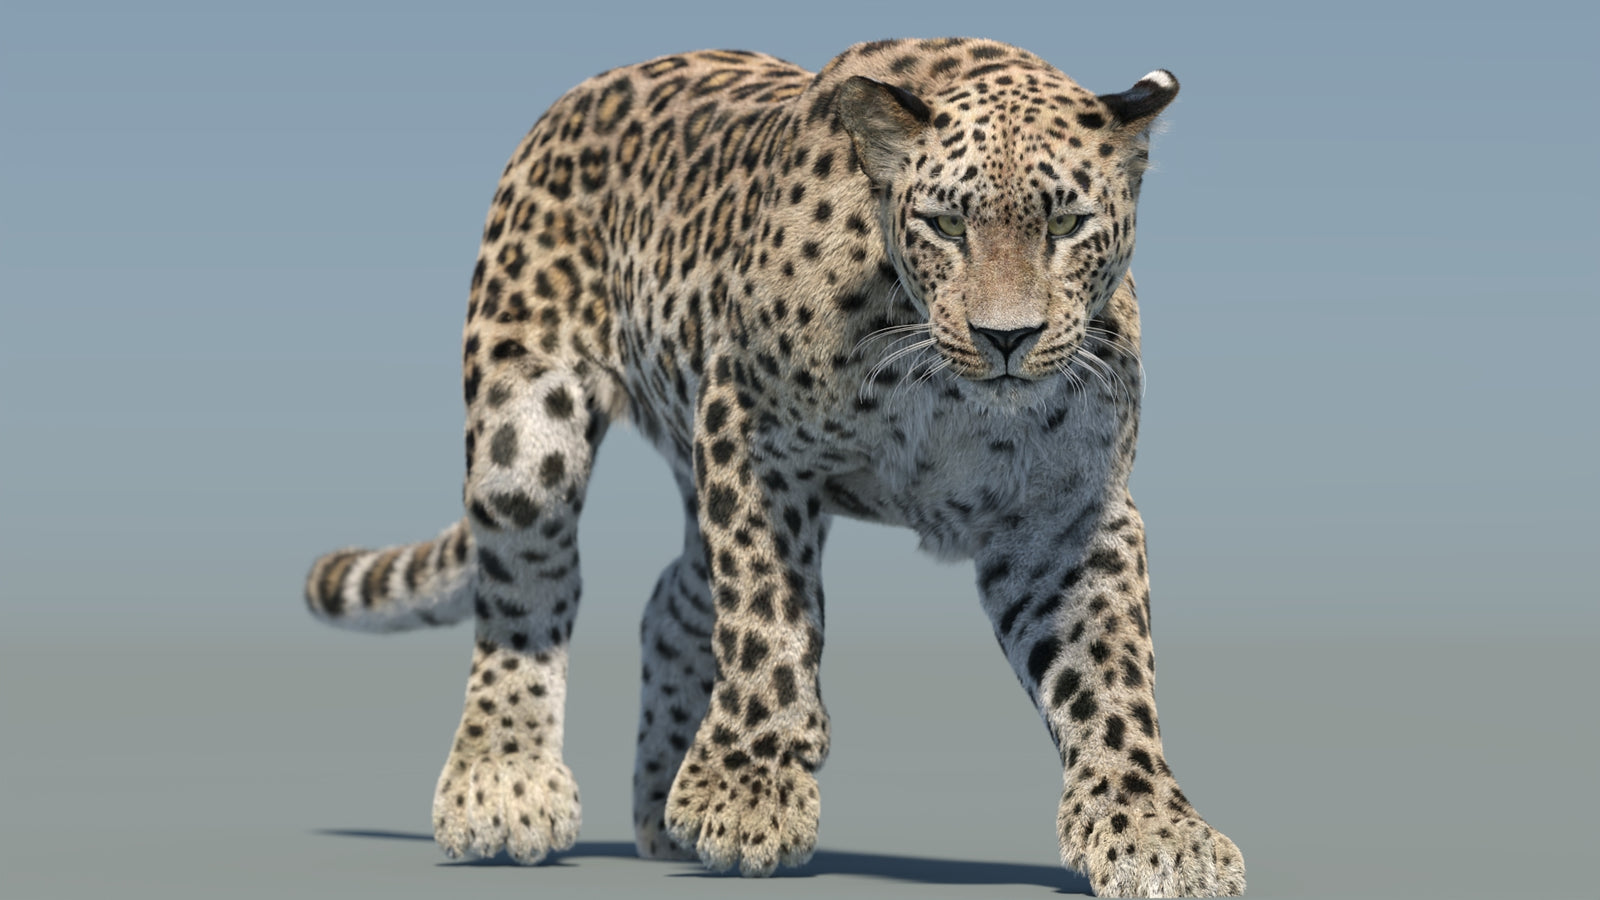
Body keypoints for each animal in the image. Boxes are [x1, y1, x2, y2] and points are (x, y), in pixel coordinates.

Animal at [303, 37, 1245, 897]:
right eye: (947, 225)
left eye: (1066, 225)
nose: (1004, 338)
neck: (938, 385)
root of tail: (584, 90)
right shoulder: (751, 438)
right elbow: (766, 616)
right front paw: (746, 793)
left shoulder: (1065, 511)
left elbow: (1108, 670)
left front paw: (1152, 830)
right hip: (526, 426)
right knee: (527, 588)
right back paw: (502, 786)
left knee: (672, 599)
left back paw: (659, 812)